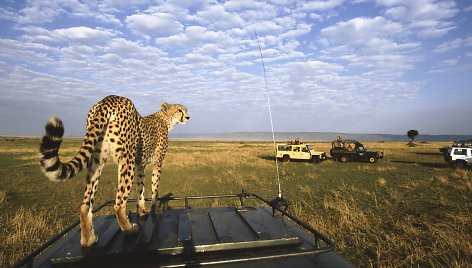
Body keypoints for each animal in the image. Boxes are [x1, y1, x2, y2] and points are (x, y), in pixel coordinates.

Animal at [38, 94, 189, 247]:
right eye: (179, 110)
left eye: (185, 109)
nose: (188, 117)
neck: (165, 119)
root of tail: (109, 98)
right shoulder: (157, 163)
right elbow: (154, 189)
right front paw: (154, 211)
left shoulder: (140, 165)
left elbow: (140, 189)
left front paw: (141, 211)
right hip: (127, 159)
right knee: (118, 204)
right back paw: (129, 230)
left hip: (97, 160)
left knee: (85, 205)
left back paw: (88, 239)